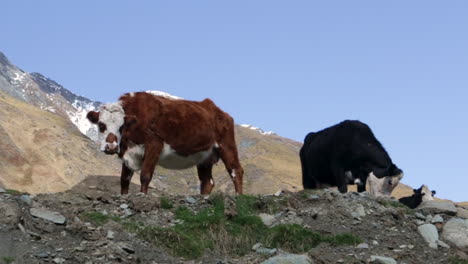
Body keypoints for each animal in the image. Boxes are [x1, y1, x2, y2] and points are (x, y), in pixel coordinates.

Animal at [86, 92, 245, 195]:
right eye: (101, 125)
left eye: (121, 126)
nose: (111, 147)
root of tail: (218, 110)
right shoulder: (128, 154)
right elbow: (124, 180)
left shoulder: (154, 145)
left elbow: (145, 175)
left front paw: (142, 195)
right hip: (205, 156)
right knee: (207, 182)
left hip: (226, 145)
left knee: (236, 170)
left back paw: (238, 197)